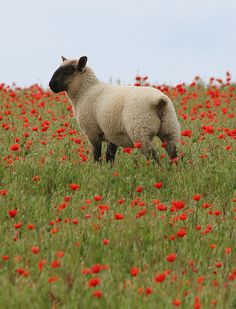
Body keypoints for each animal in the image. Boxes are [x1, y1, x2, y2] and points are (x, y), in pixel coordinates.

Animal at [48, 55, 180, 162]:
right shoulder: (112, 135)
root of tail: (159, 100)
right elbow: (110, 156)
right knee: (173, 156)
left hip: (140, 132)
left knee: (153, 157)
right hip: (170, 129)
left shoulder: (92, 133)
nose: (50, 85)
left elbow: (97, 155)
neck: (85, 92)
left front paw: (98, 171)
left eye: (67, 71)